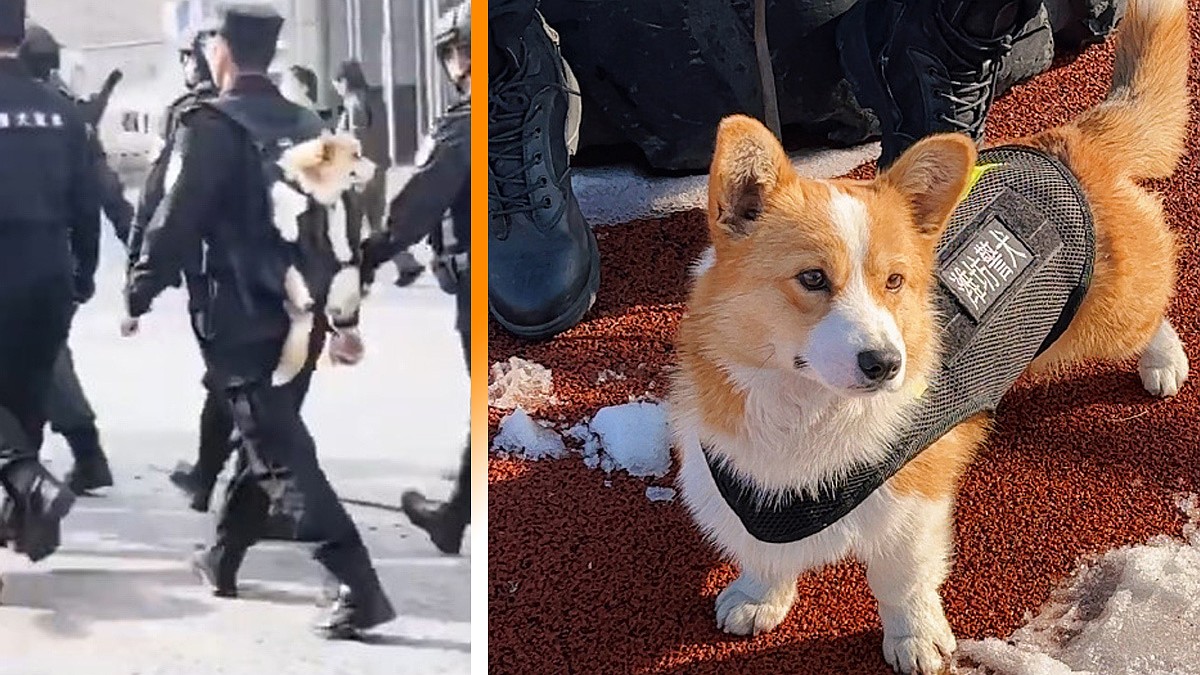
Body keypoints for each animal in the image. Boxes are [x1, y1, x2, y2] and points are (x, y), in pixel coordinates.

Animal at [268, 131, 372, 384]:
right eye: (356, 155)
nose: (375, 167)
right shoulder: (288, 194)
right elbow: (285, 203)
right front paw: (289, 228)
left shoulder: (335, 209)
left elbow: (339, 230)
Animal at [672, 2, 1185, 667]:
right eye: (812, 278)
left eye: (894, 280)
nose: (885, 365)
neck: (804, 412)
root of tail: (1068, 144)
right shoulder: (740, 486)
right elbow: (763, 554)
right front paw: (759, 597)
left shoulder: (913, 506)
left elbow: (903, 581)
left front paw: (915, 639)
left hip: (1112, 316)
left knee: (1153, 307)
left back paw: (1164, 361)